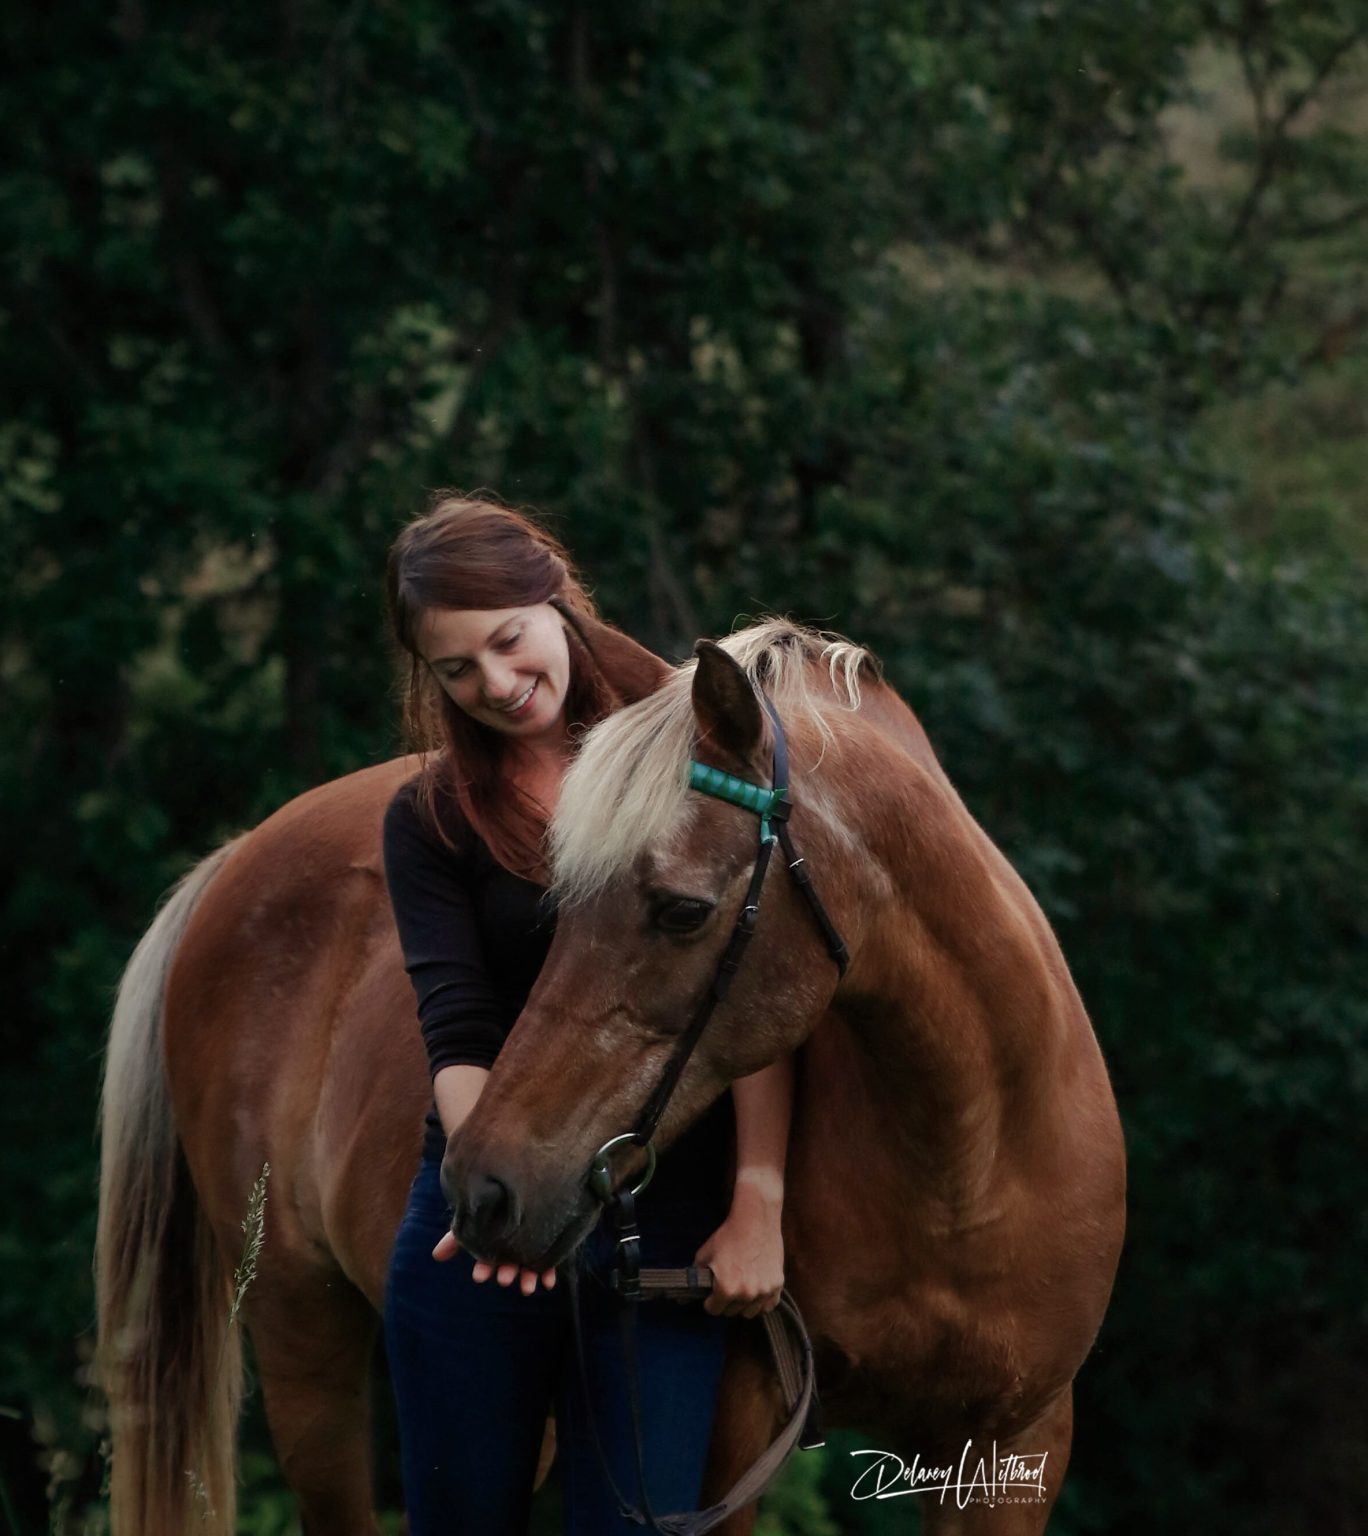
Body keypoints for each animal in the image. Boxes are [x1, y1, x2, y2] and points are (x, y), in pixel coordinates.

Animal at [96, 618, 1125, 1536]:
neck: (964, 1163)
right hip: (302, 1339)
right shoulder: (723, 1452)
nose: (485, 1189)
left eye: (681, 910)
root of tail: (238, 857)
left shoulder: (1015, 1451)